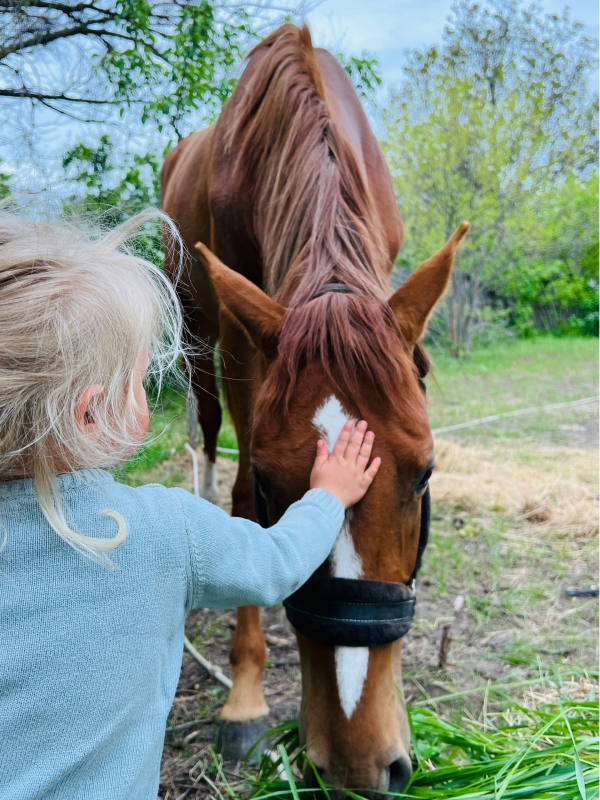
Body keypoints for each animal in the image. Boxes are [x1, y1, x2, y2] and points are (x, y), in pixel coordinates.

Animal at [161, 23, 468, 792]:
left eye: (424, 473)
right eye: (273, 482)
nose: (359, 766)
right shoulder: (241, 346)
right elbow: (240, 497)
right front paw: (244, 697)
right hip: (195, 334)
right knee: (207, 441)